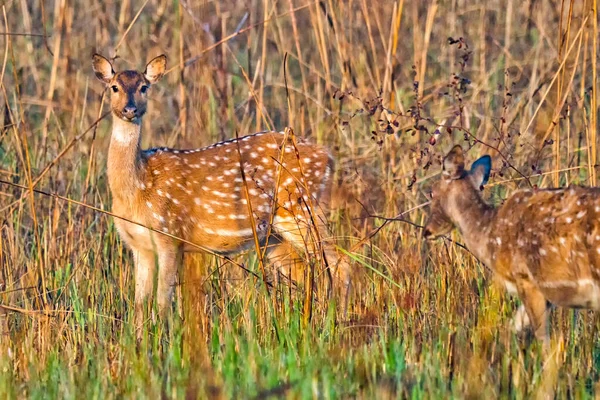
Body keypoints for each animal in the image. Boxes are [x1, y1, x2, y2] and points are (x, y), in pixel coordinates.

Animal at [93, 54, 352, 334]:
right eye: (114, 87)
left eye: (144, 87)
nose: (130, 110)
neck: (138, 189)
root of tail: (328, 156)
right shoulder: (139, 245)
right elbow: (140, 303)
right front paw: (138, 340)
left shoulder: (170, 235)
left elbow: (163, 302)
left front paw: (165, 339)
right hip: (274, 234)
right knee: (303, 270)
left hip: (300, 209)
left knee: (340, 262)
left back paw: (337, 324)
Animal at [424, 145, 600, 346]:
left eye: (432, 192)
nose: (427, 231)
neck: (489, 235)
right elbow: (511, 328)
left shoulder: (526, 279)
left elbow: (542, 340)